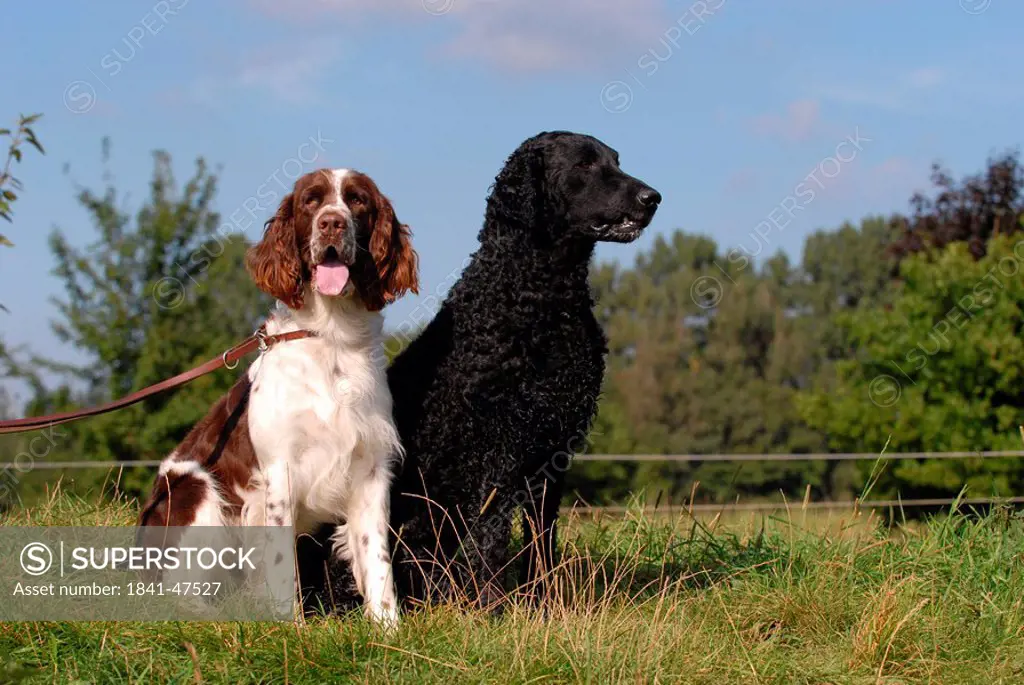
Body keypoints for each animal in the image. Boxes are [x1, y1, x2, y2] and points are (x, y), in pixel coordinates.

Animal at [299, 131, 659, 606]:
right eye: (584, 164)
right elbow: (490, 538)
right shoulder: (496, 449)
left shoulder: (552, 448)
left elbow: (541, 540)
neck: (538, 297)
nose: (653, 197)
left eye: (616, 161)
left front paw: (543, 605)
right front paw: (490, 606)